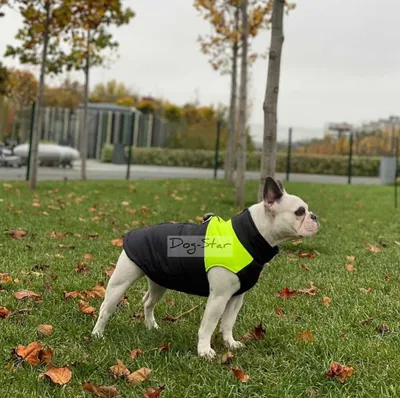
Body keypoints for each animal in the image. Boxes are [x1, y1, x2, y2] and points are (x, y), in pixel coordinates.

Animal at [91, 177, 318, 358]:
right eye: (300, 212)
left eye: (307, 210)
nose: (314, 216)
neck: (251, 235)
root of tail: (135, 231)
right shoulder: (219, 297)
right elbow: (209, 324)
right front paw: (204, 350)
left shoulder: (236, 298)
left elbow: (228, 323)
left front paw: (230, 343)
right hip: (121, 281)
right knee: (105, 308)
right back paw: (97, 334)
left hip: (159, 281)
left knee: (148, 302)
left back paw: (151, 326)